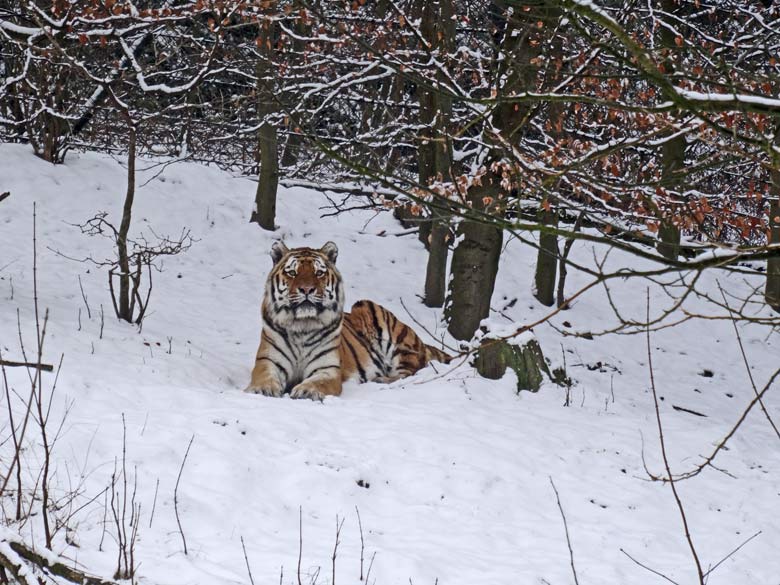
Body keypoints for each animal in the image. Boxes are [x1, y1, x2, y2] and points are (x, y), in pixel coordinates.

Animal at [244, 240, 450, 400]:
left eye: (319, 273)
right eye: (292, 273)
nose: (307, 289)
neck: (302, 324)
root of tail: (421, 343)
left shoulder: (328, 368)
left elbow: (317, 382)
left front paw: (306, 390)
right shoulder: (267, 361)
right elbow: (264, 377)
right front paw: (262, 389)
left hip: (378, 318)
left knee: (411, 370)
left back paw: (380, 379)